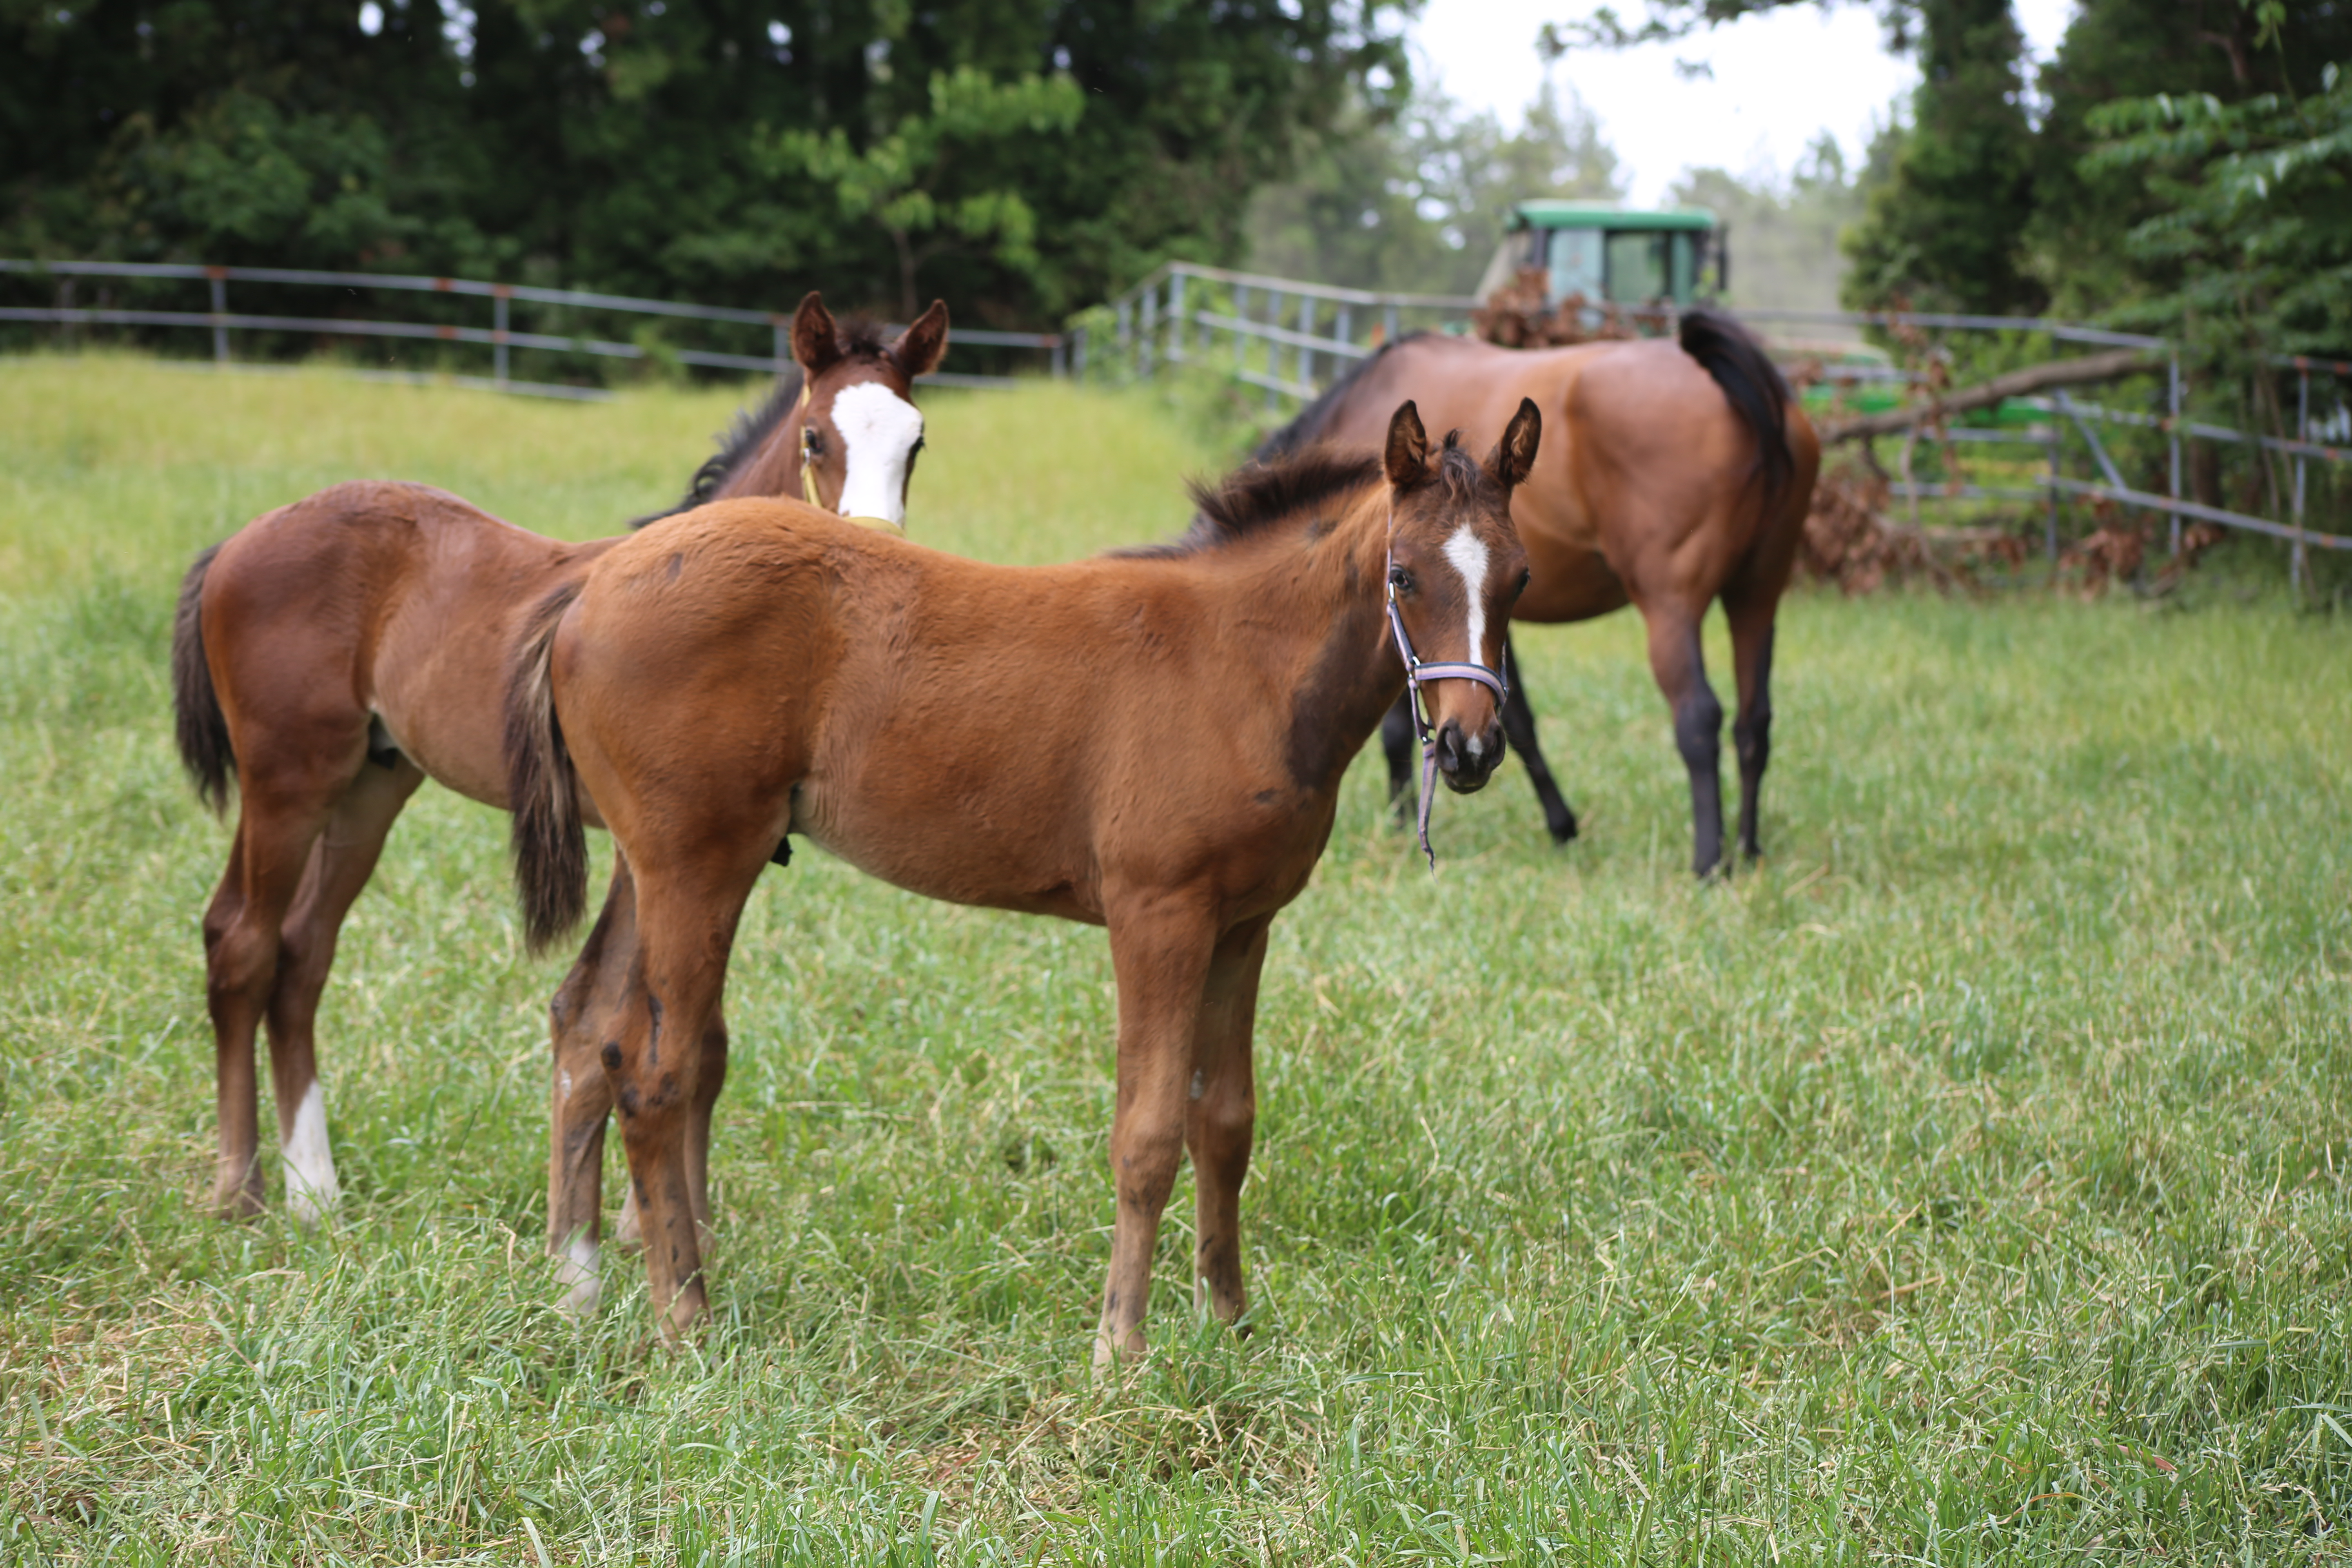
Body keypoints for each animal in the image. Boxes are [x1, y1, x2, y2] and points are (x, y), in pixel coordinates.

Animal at [170, 291, 950, 1241]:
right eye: (813, 437)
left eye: (917, 441)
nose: (881, 558)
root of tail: (239, 541)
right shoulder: (666, 848)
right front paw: (646, 1227)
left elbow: (698, 1036)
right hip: (289, 780)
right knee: (241, 942)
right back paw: (240, 1190)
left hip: (371, 786)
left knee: (301, 954)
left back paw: (314, 1190)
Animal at [501, 399, 1543, 1354]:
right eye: (1402, 575)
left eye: (1521, 577)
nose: (1469, 747)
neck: (1239, 664)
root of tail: (591, 580)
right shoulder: (1158, 915)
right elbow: (1147, 1133)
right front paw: (1121, 1349)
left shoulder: (1245, 925)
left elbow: (1225, 1123)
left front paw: (1229, 1323)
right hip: (697, 866)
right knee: (655, 1073)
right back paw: (685, 1320)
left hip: (652, 864)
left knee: (593, 1031)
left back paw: (581, 1286)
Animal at [1270, 312, 1815, 879]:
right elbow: (1513, 719)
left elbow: (1416, 727)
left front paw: (1402, 823)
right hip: (1757, 595)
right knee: (1755, 720)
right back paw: (1749, 848)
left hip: (1672, 608)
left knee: (1699, 717)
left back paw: (1710, 860)